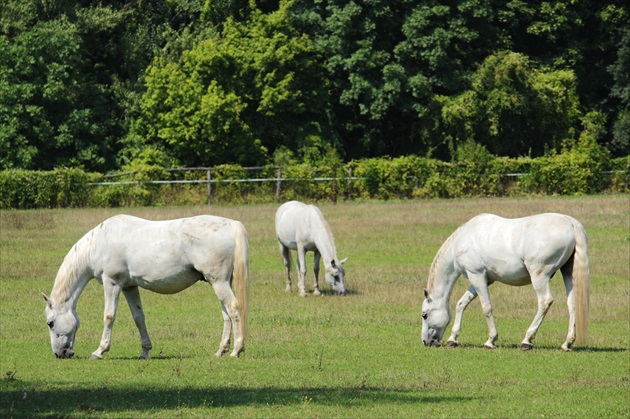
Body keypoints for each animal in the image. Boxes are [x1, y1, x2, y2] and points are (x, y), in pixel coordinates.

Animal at [41, 217, 249, 360]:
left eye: (50, 323)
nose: (60, 354)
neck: (100, 243)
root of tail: (231, 224)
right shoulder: (130, 287)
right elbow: (138, 317)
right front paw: (145, 351)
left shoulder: (112, 283)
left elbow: (109, 316)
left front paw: (99, 351)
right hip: (221, 282)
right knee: (226, 315)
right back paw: (221, 351)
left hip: (219, 282)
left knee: (234, 309)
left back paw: (237, 350)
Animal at [422, 212, 592, 352]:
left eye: (424, 315)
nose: (426, 342)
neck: (463, 239)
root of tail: (571, 222)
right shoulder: (483, 279)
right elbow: (461, 304)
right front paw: (453, 339)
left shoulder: (477, 275)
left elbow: (486, 308)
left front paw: (490, 340)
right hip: (568, 273)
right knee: (572, 304)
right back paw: (567, 343)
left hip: (539, 276)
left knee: (545, 302)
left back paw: (527, 341)